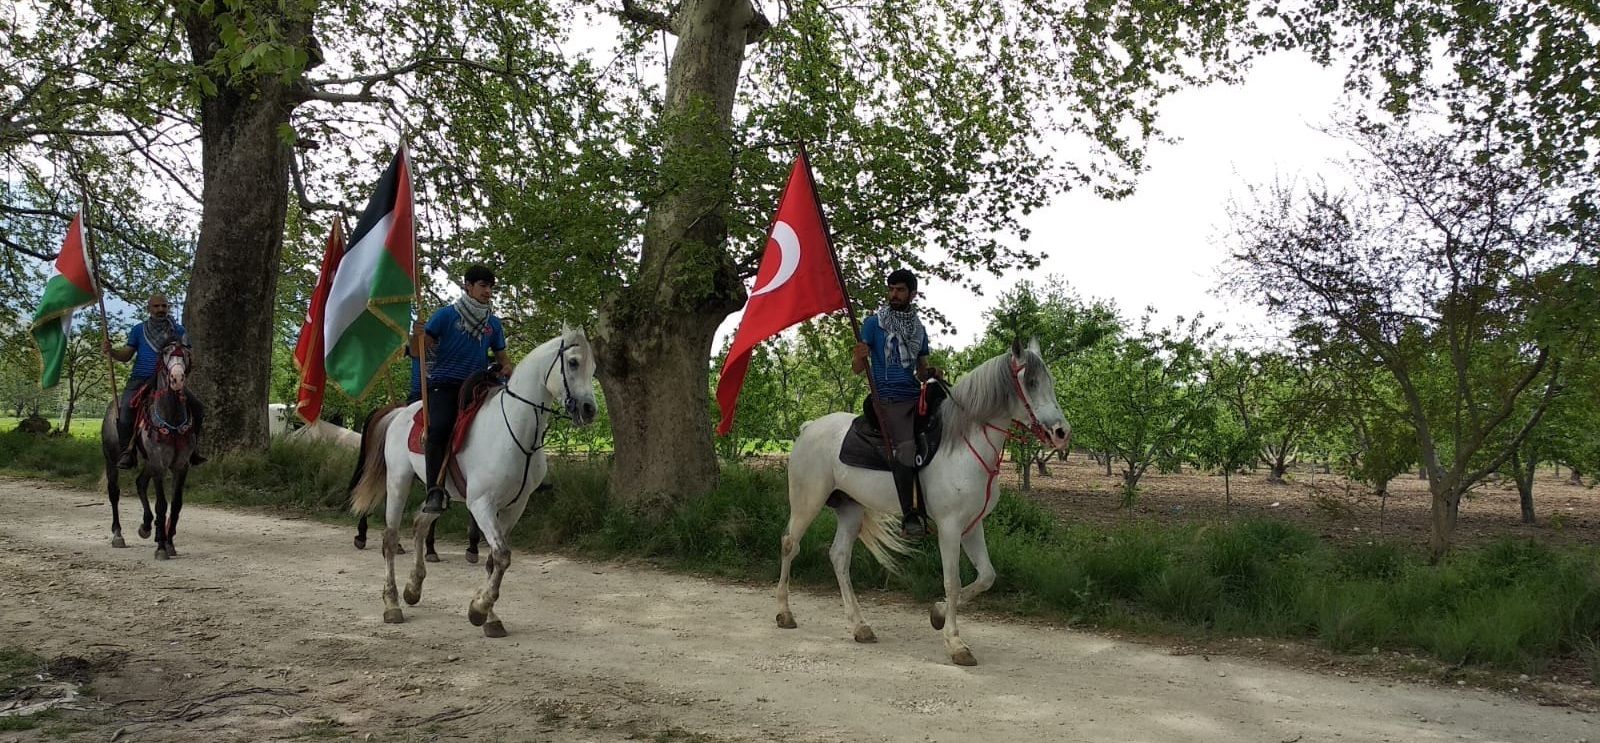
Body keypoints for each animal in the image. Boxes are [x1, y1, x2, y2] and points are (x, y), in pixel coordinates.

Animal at [352, 328, 601, 634]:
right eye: (574, 362)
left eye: (594, 368)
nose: (589, 409)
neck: (514, 430)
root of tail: (399, 412)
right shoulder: (482, 505)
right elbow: (503, 555)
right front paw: (480, 610)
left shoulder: (514, 507)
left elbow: (494, 560)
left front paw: (489, 616)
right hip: (399, 480)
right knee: (390, 538)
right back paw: (392, 603)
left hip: (437, 495)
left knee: (420, 524)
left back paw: (413, 588)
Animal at [771, 339, 1062, 666]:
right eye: (1031, 382)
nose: (1061, 432)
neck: (961, 444)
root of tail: (809, 428)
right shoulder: (950, 527)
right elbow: (952, 581)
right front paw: (955, 643)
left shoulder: (972, 526)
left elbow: (986, 576)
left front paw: (937, 614)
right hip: (807, 501)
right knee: (790, 544)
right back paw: (784, 613)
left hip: (851, 509)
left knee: (839, 557)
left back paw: (860, 626)